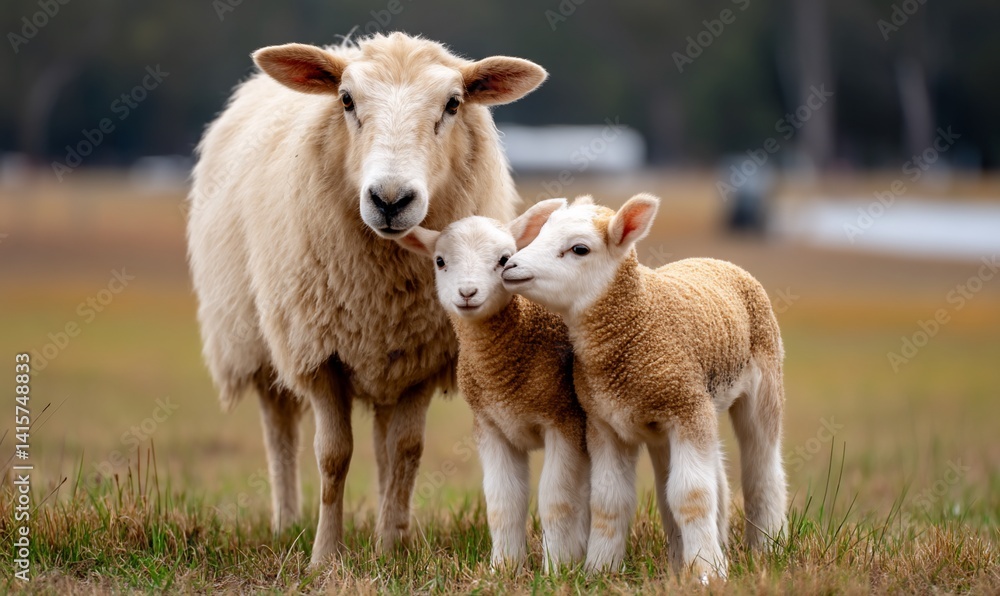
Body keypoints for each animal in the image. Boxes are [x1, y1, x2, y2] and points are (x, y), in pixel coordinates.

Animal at [186, 32, 547, 564]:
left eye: (453, 104)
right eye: (346, 100)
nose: (391, 200)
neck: (383, 285)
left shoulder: (422, 356)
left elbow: (405, 451)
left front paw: (391, 549)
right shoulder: (319, 354)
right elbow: (332, 456)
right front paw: (323, 556)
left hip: (386, 363)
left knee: (382, 443)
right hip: (254, 338)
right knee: (280, 433)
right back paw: (286, 524)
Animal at [395, 201, 590, 571]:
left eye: (504, 259)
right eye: (439, 261)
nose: (468, 293)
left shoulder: (564, 423)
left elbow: (555, 501)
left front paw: (557, 569)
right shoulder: (491, 428)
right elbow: (503, 503)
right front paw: (504, 568)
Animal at [500, 194, 788, 582]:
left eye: (579, 249)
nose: (510, 265)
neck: (639, 321)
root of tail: (716, 260)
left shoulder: (686, 409)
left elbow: (691, 496)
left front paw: (707, 573)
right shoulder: (605, 424)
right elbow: (609, 501)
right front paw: (599, 570)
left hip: (762, 384)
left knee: (762, 466)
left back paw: (767, 548)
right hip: (680, 417)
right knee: (708, 480)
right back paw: (692, 555)